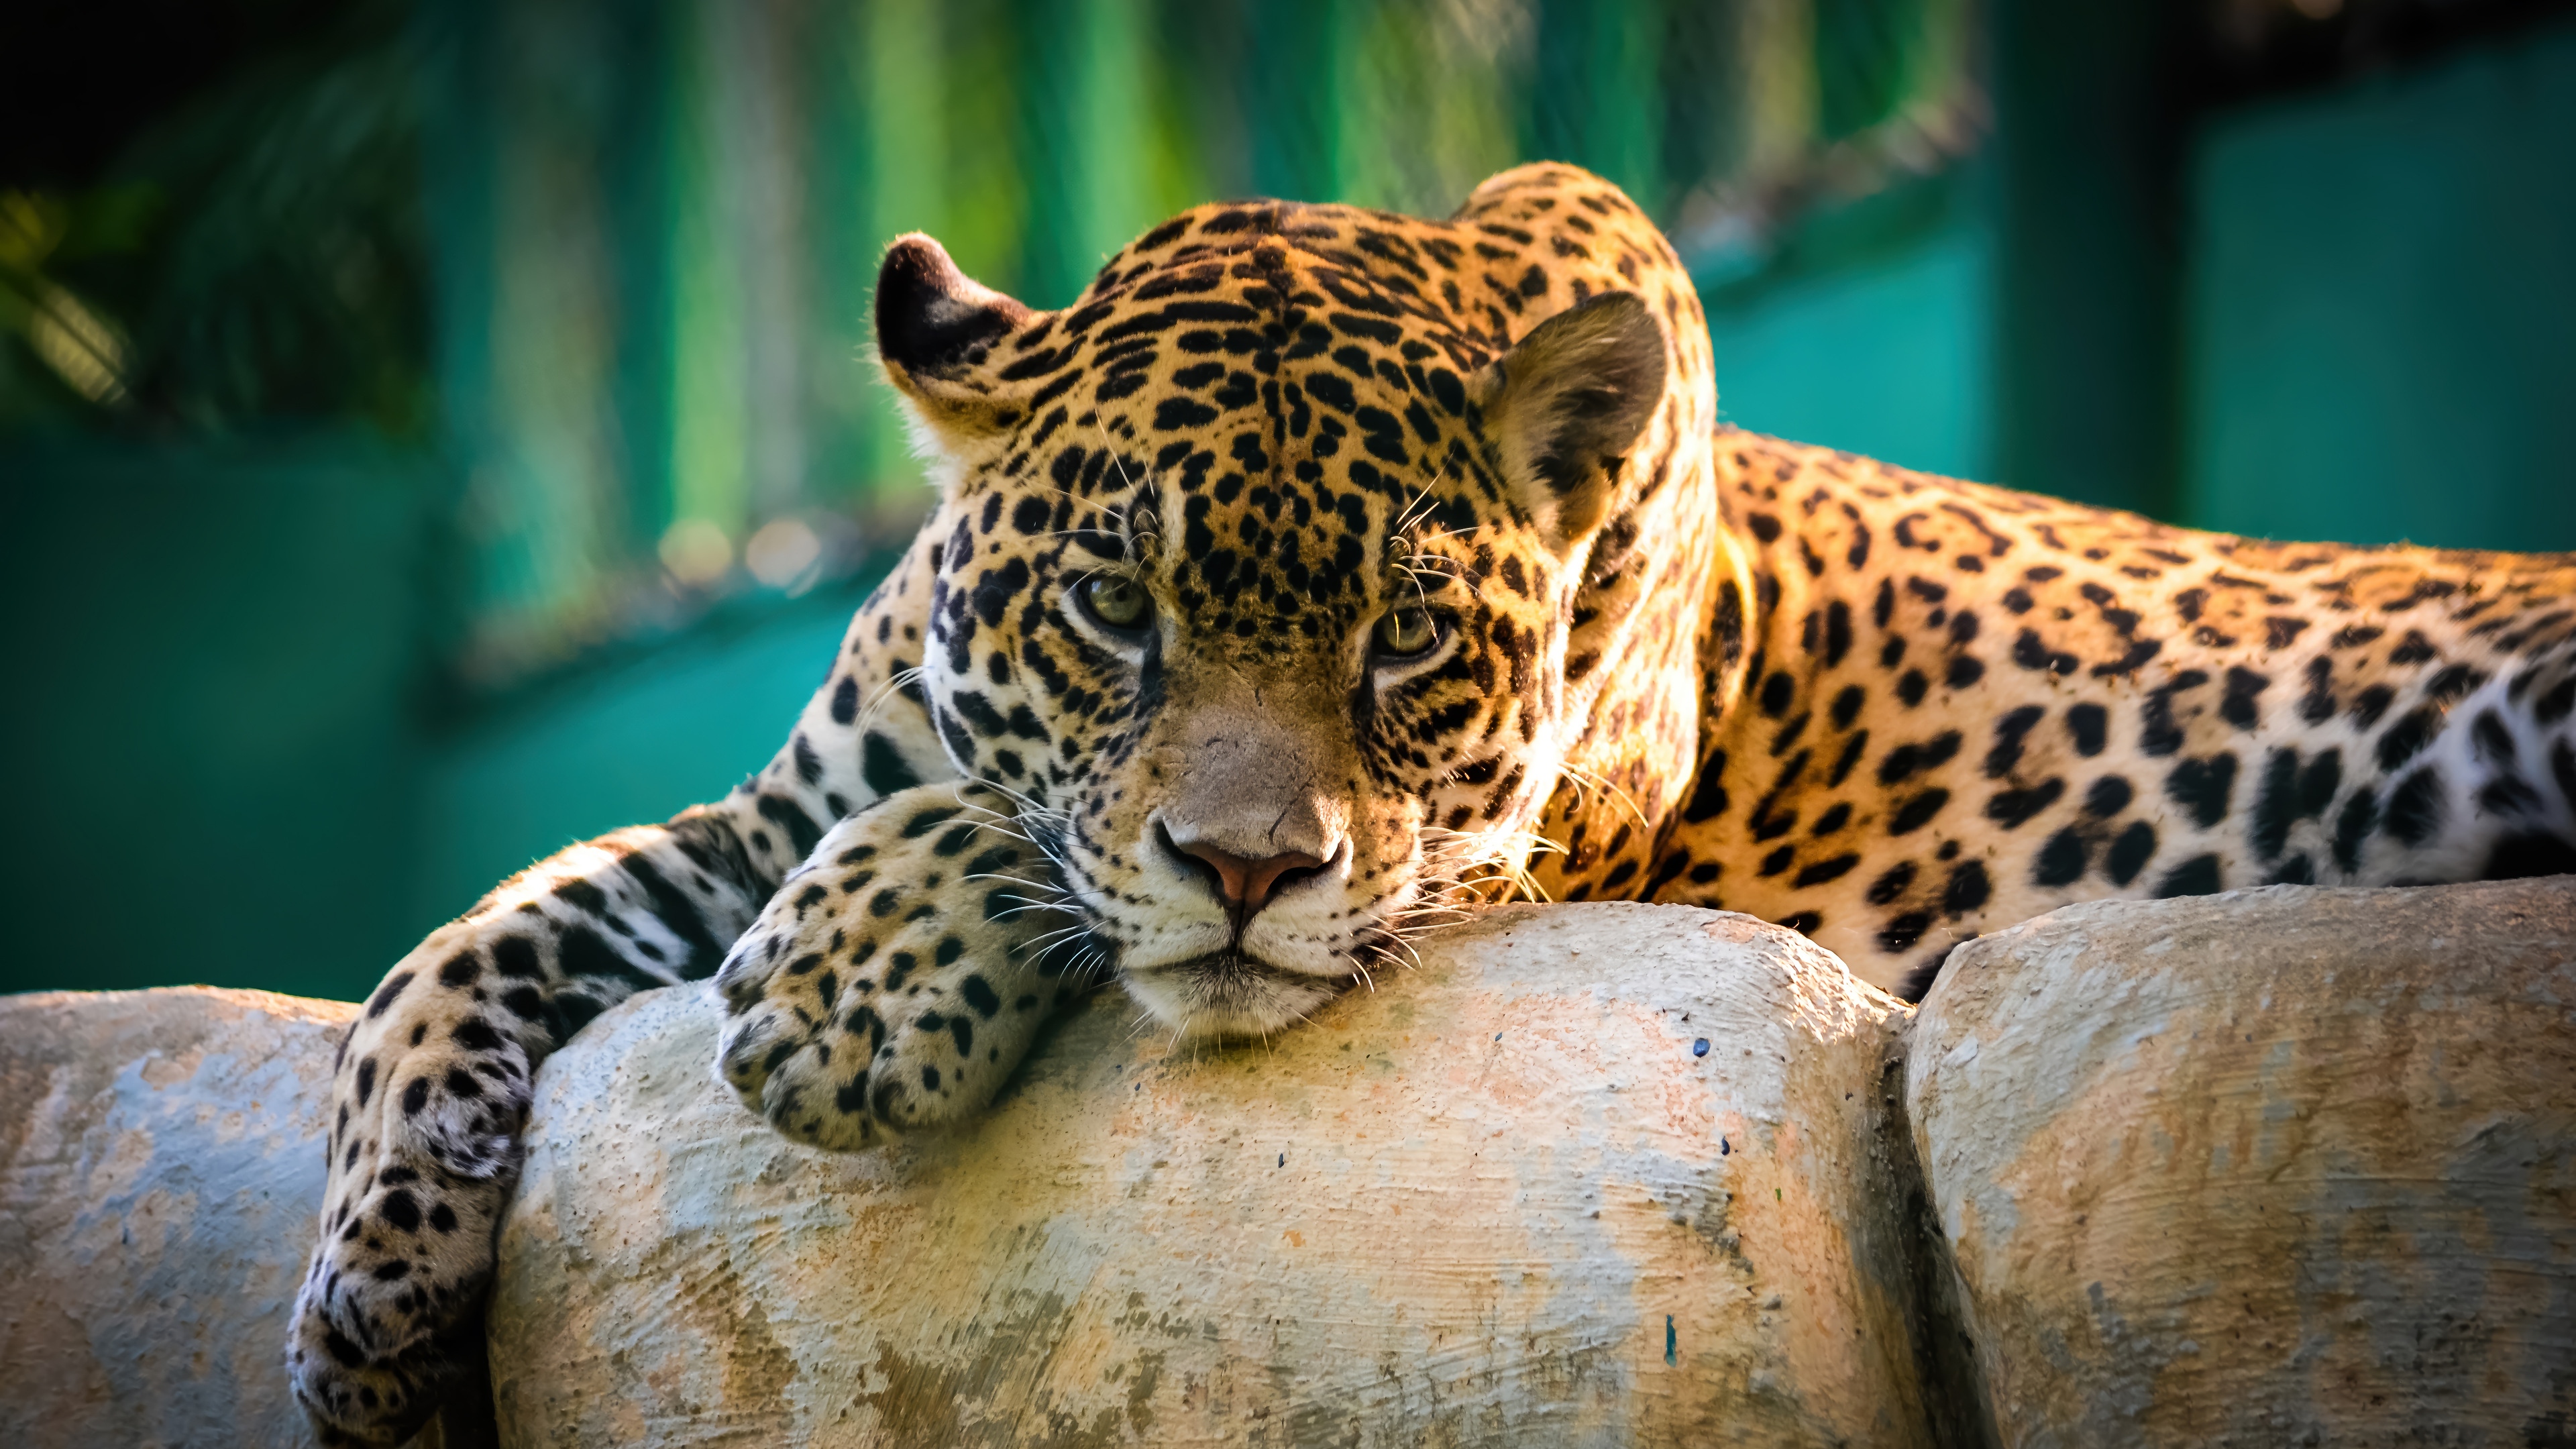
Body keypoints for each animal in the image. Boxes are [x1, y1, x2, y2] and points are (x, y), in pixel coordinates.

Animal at [287, 161, 2576, 1442]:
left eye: (1405, 641)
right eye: (1111, 606)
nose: (1246, 869)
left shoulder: (1504, 852)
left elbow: (1035, 852)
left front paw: (853, 987)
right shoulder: (758, 820)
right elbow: (458, 945)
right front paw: (371, 1300)